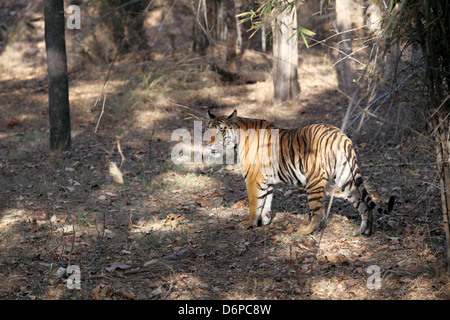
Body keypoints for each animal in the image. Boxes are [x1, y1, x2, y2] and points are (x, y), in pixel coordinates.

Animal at [206, 110, 396, 235]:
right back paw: (364, 232)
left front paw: (248, 224)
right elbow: (265, 202)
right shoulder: (266, 181)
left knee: (318, 211)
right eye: (208, 129)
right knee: (364, 205)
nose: (207, 143)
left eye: (221, 130)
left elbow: (254, 204)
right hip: (347, 179)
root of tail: (341, 135)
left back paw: (305, 231)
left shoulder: (253, 179)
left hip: (314, 181)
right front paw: (264, 222)